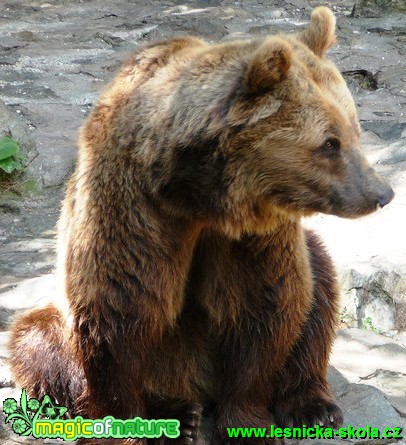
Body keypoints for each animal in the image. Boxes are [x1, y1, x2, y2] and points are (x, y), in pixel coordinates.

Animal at [8, 6, 394, 444]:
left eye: (355, 130)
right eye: (329, 143)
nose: (381, 193)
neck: (198, 197)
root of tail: (194, 384)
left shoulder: (253, 234)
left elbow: (265, 302)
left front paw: (246, 424)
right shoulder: (133, 208)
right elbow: (120, 307)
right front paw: (129, 428)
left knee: (319, 289)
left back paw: (314, 406)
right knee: (38, 343)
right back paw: (178, 414)